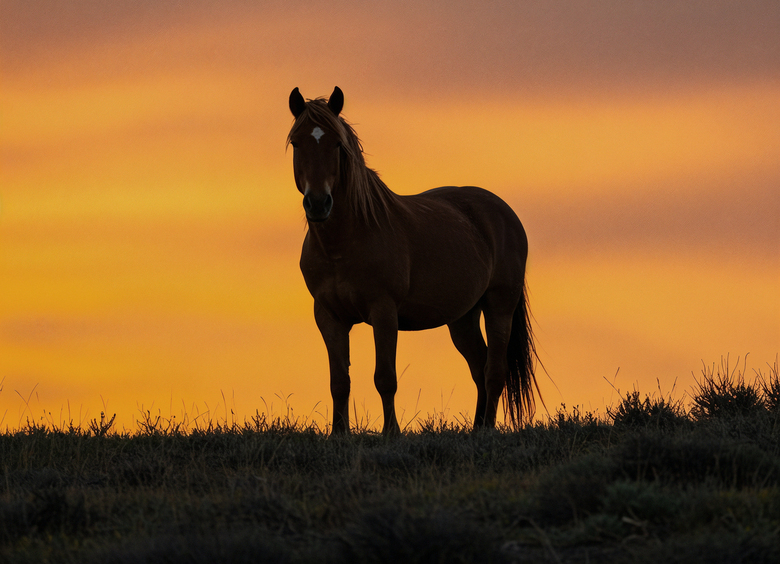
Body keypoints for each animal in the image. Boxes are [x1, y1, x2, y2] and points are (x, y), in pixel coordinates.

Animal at [287, 86, 542, 435]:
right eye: (296, 142)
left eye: (337, 143)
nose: (317, 204)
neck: (344, 243)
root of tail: (504, 213)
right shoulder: (328, 316)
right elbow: (339, 381)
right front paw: (338, 433)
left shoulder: (384, 312)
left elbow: (385, 378)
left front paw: (390, 433)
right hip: (462, 317)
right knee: (479, 367)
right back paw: (477, 428)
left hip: (499, 306)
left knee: (495, 371)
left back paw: (487, 429)